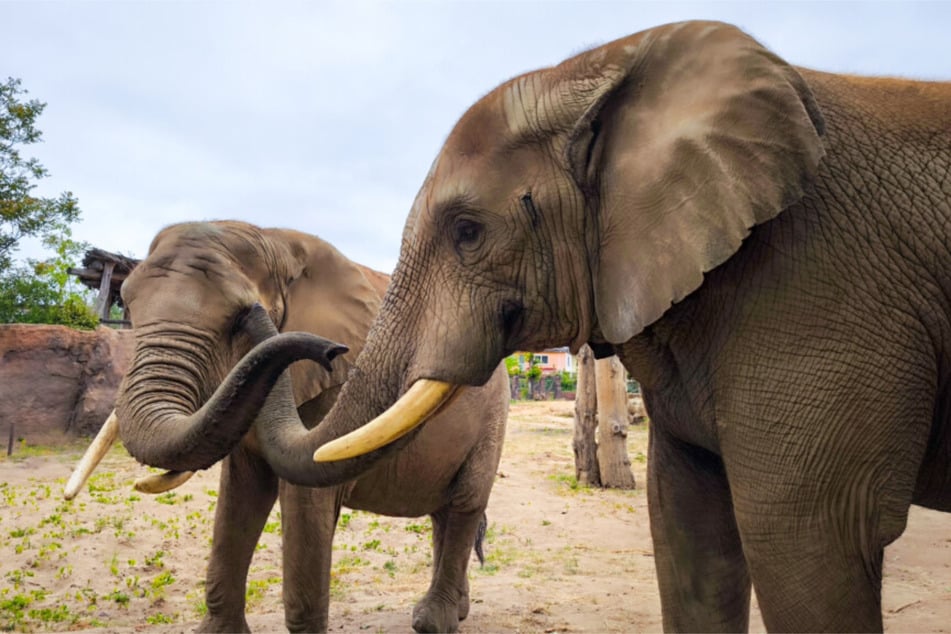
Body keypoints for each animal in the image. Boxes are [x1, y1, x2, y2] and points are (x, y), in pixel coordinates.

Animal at [63, 218, 510, 632]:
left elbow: (304, 501)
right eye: (127, 306)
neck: (273, 238)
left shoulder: (331, 387)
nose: (330, 351)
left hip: (494, 417)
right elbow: (239, 496)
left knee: (465, 504)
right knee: (443, 513)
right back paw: (454, 610)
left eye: (238, 320)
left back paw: (434, 621)